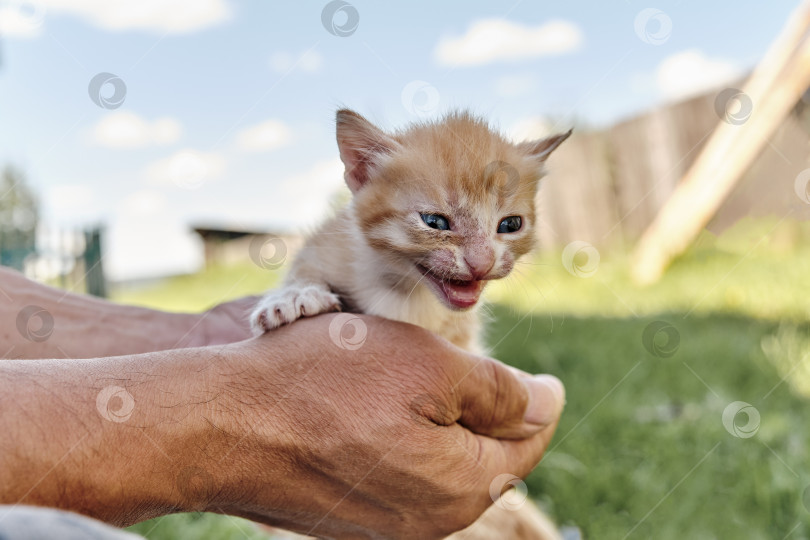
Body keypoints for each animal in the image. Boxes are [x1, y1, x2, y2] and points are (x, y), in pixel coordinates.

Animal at [249, 107, 564, 536]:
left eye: (511, 225)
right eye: (435, 221)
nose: (482, 263)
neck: (406, 290)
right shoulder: (326, 245)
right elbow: (305, 270)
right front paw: (294, 297)